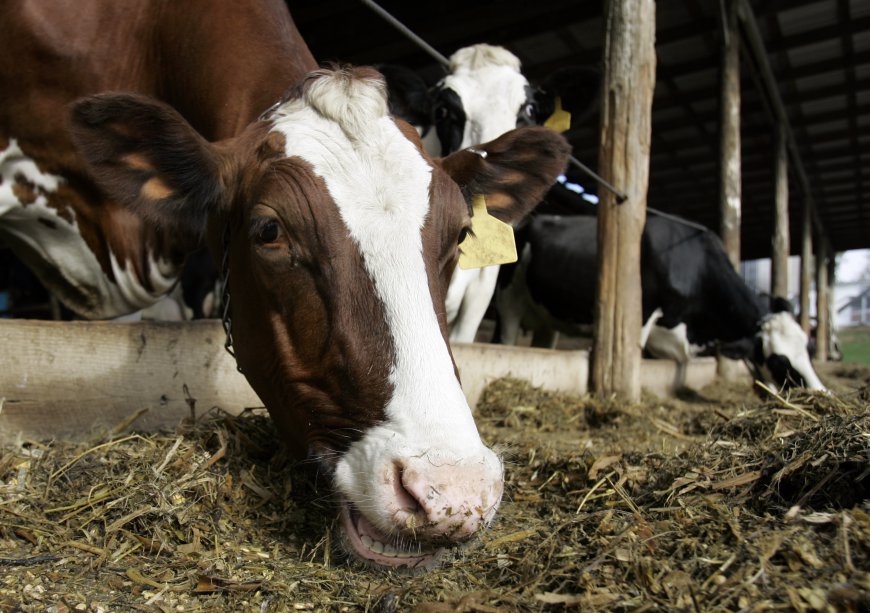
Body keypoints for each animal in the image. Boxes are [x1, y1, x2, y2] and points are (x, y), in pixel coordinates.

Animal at [500, 213, 828, 390]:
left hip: (547, 320)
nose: (822, 392)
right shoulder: (643, 316)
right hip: (510, 303)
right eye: (777, 360)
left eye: (810, 348)